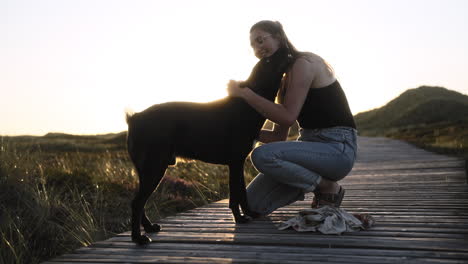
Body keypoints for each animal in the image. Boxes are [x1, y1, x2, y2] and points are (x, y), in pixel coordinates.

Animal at [126, 47, 290, 243]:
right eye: (267, 60)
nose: (285, 47)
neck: (248, 103)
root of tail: (135, 118)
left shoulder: (238, 163)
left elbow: (241, 193)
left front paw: (248, 214)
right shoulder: (235, 162)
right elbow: (236, 195)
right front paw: (240, 218)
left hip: (146, 170)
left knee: (140, 201)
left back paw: (149, 228)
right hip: (154, 167)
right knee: (137, 202)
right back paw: (138, 238)